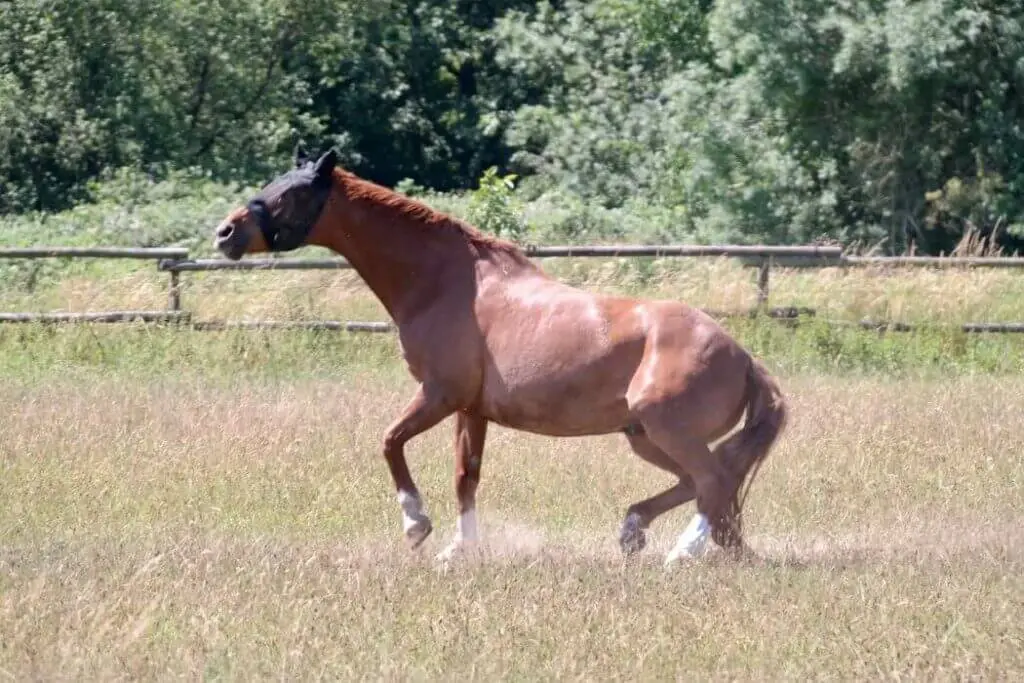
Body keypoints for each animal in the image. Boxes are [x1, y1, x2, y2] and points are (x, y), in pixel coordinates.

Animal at [212, 146, 789, 567]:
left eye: (290, 193)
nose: (225, 233)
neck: (447, 282)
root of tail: (742, 356)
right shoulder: (471, 410)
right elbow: (465, 476)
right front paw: (458, 549)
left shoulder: (439, 395)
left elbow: (390, 442)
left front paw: (417, 525)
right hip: (644, 436)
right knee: (702, 483)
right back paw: (635, 531)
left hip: (667, 430)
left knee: (712, 481)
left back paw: (681, 553)